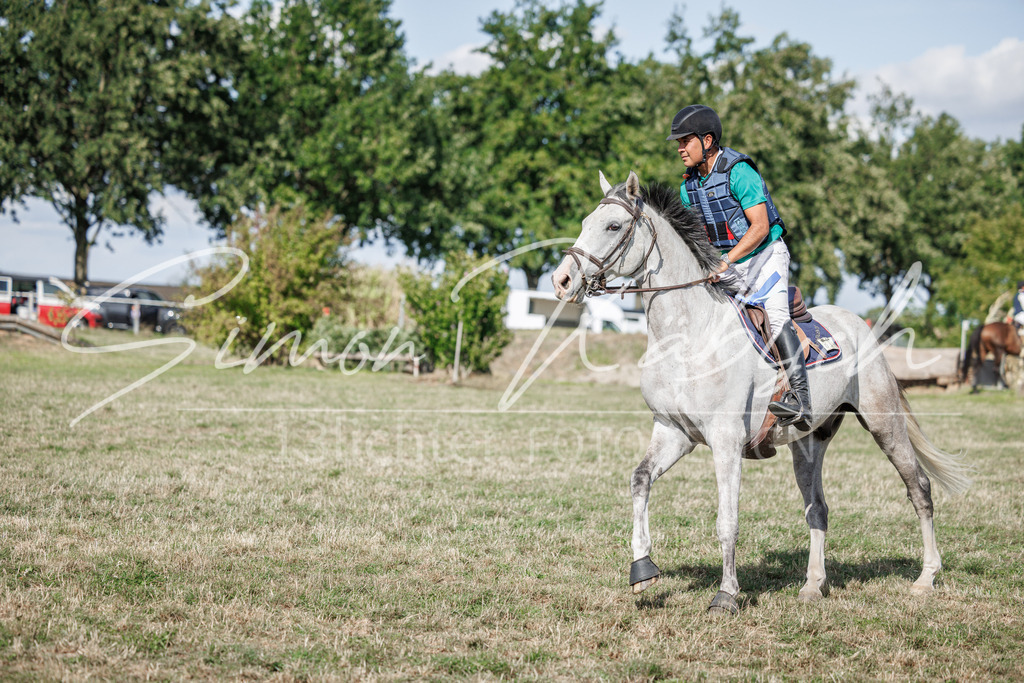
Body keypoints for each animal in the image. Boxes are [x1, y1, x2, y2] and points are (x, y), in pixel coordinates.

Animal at [551, 171, 971, 616]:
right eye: (585, 222)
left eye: (614, 226)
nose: (562, 281)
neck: (686, 336)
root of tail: (863, 327)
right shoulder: (673, 432)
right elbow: (640, 480)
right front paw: (642, 570)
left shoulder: (725, 441)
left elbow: (727, 521)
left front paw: (726, 595)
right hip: (808, 443)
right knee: (817, 508)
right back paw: (813, 585)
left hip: (883, 421)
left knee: (919, 488)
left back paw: (926, 577)